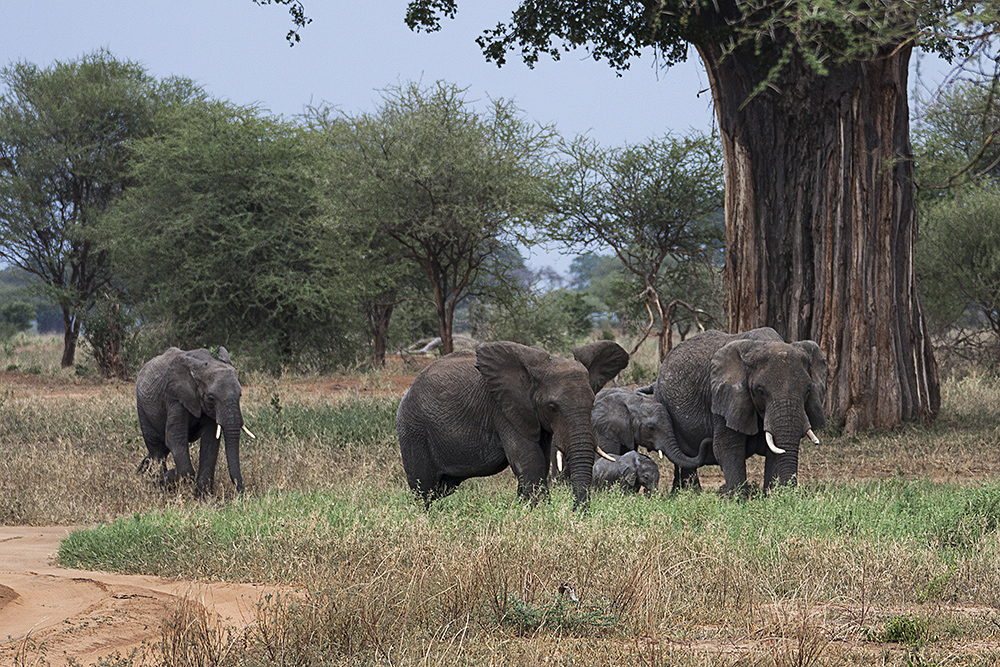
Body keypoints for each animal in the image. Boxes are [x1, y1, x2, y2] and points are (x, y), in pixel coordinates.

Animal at [136, 350, 254, 496]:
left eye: (240, 395)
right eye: (211, 398)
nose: (242, 493)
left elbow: (210, 442)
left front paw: (204, 497)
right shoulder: (176, 398)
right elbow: (175, 437)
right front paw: (169, 476)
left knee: (160, 450)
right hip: (142, 408)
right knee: (157, 449)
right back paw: (158, 484)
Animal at [396, 342, 624, 508]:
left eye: (592, 402)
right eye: (552, 407)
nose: (576, 511)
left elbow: (539, 461)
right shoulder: (504, 409)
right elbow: (529, 461)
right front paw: (541, 514)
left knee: (440, 489)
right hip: (414, 430)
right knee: (424, 489)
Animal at [648, 328, 828, 496]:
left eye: (808, 390)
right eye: (760, 391)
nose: (789, 494)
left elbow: (774, 451)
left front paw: (771, 498)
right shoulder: (723, 397)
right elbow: (727, 447)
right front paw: (738, 500)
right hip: (663, 402)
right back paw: (687, 494)